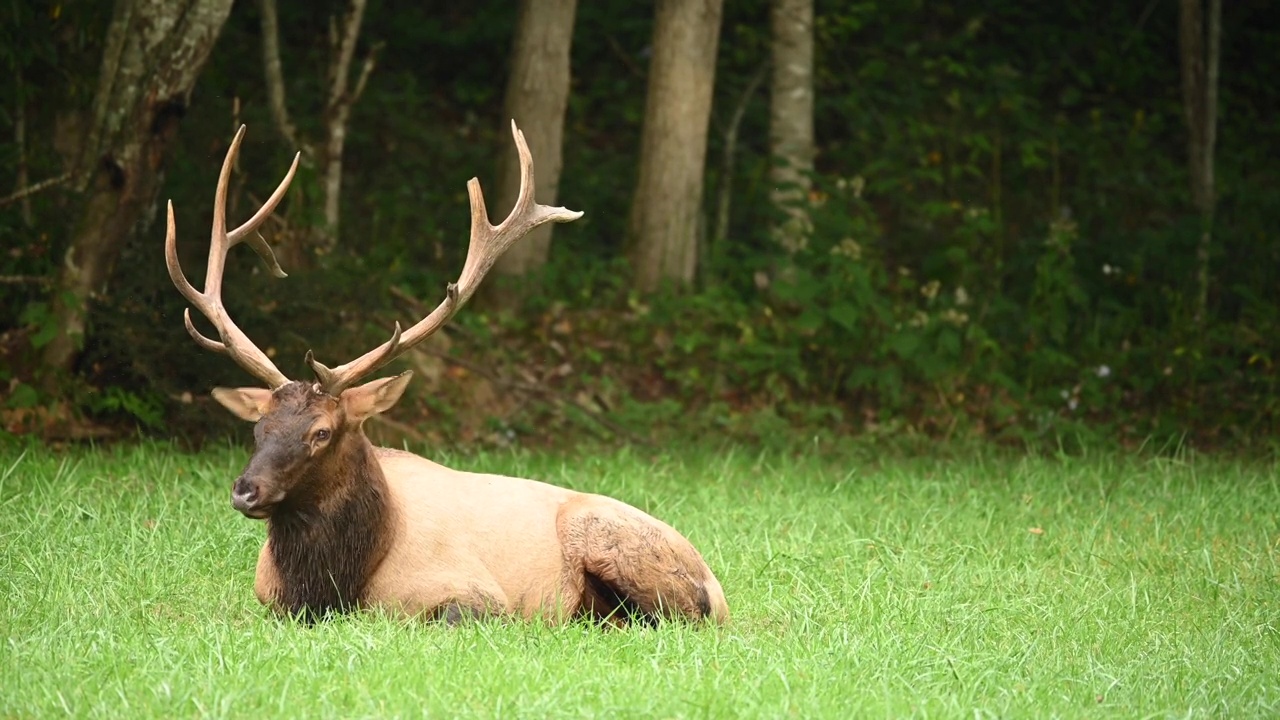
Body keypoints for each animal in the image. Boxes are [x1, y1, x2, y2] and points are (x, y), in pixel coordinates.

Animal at [167, 122, 732, 622]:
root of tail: (717, 588)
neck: (333, 587)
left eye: (321, 432)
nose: (246, 490)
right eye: (258, 427)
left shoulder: (475, 593)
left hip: (614, 541)